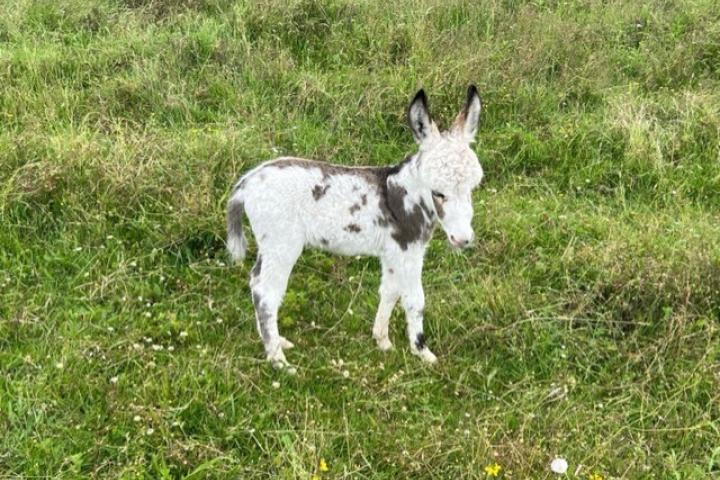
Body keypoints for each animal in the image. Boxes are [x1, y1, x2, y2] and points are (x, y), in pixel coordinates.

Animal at [225, 87, 484, 372]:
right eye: (438, 192)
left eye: (473, 188)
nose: (463, 240)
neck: (408, 194)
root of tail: (247, 182)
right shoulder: (409, 252)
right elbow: (415, 300)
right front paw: (422, 352)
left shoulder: (393, 253)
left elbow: (389, 292)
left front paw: (383, 341)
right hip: (281, 245)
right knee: (266, 292)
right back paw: (278, 360)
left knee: (257, 285)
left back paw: (275, 342)